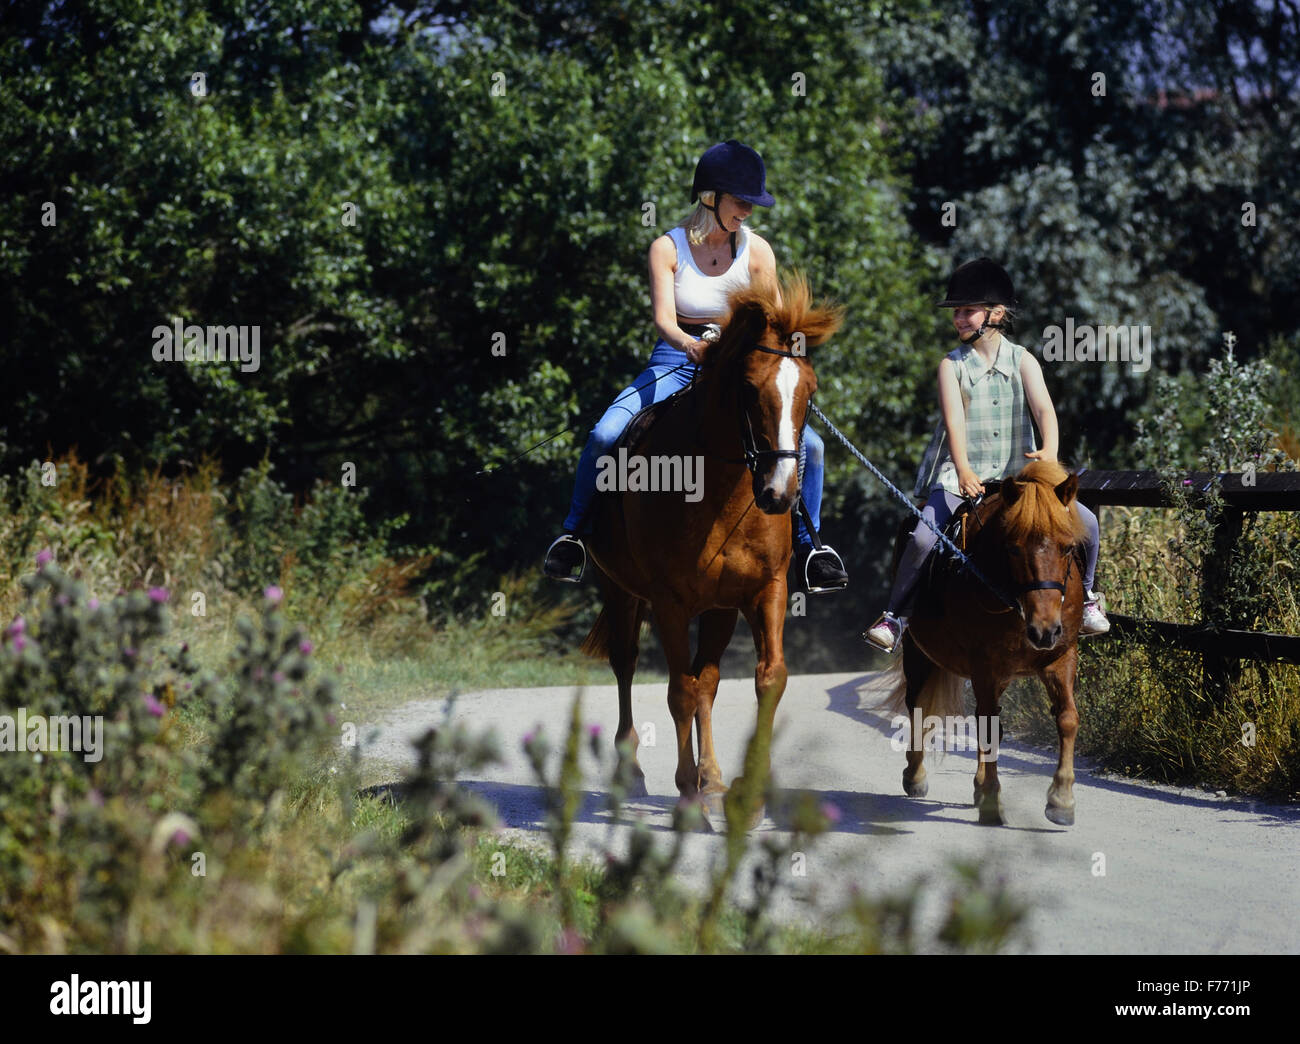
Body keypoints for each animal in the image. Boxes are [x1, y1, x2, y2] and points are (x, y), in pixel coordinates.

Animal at [579, 273, 842, 826]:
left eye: (809, 393)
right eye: (749, 389)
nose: (780, 494)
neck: (722, 490)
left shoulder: (765, 591)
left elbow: (766, 679)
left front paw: (744, 793)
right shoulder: (669, 603)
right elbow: (678, 690)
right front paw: (686, 797)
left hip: (719, 609)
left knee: (709, 680)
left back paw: (714, 780)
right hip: (618, 590)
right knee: (628, 664)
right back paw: (632, 772)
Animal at [889, 460, 1092, 826]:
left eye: (1068, 547)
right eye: (1013, 548)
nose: (1043, 631)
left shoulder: (1060, 657)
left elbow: (1067, 718)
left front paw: (1061, 800)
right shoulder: (985, 665)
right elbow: (984, 726)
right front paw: (993, 802)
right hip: (918, 653)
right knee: (919, 707)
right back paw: (916, 776)